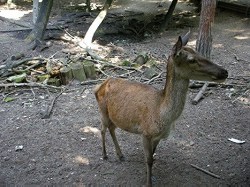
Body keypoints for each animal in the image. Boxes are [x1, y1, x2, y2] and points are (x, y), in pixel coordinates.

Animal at [94, 31, 229, 186]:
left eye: (198, 52)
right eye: (191, 59)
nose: (225, 72)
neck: (162, 114)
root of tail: (99, 86)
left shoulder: (158, 137)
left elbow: (153, 156)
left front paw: (150, 176)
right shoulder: (145, 133)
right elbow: (148, 160)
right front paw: (148, 183)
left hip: (115, 117)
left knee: (112, 128)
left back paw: (121, 155)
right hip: (102, 111)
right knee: (102, 129)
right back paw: (105, 155)